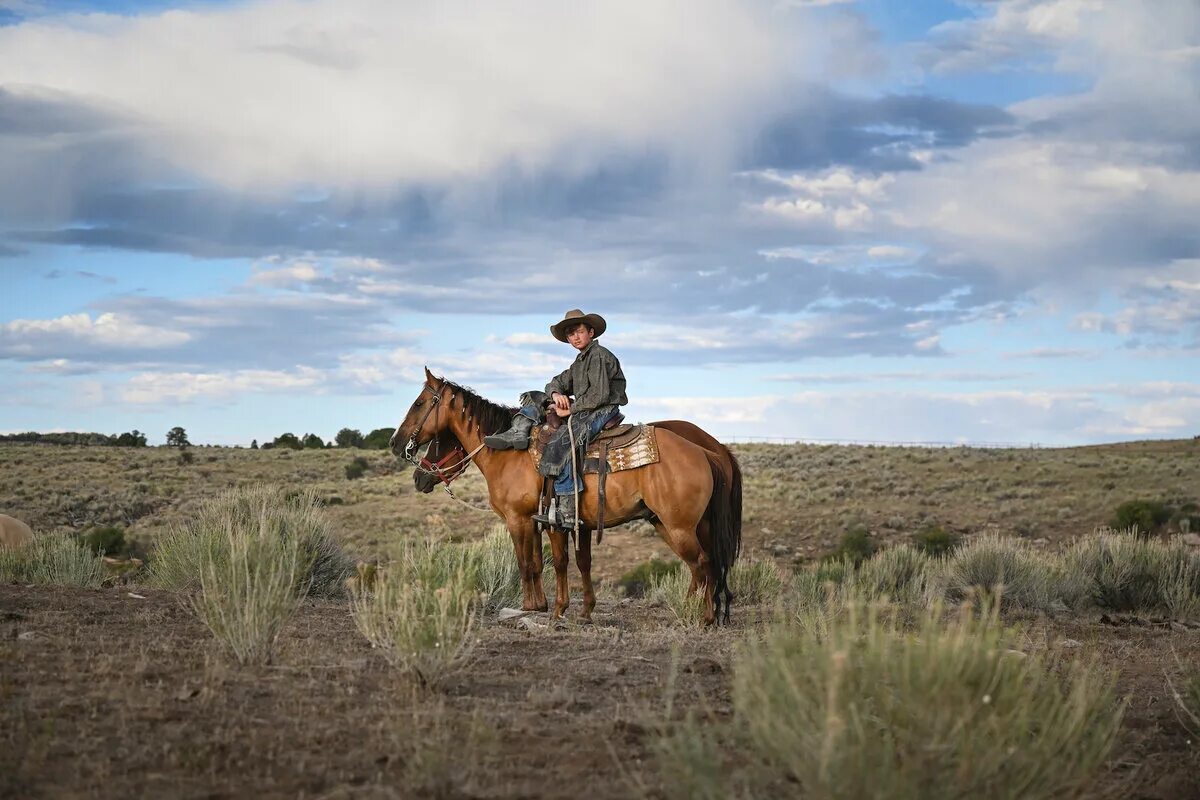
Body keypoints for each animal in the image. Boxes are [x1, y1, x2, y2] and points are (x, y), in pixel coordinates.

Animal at [393, 369, 739, 623]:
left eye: (420, 404)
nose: (397, 443)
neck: (508, 452)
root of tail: (707, 451)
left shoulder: (523, 520)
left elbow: (534, 562)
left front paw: (543, 607)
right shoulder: (560, 523)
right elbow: (560, 562)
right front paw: (567, 608)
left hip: (679, 526)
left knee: (703, 563)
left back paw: (704, 617)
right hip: (675, 525)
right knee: (702, 565)